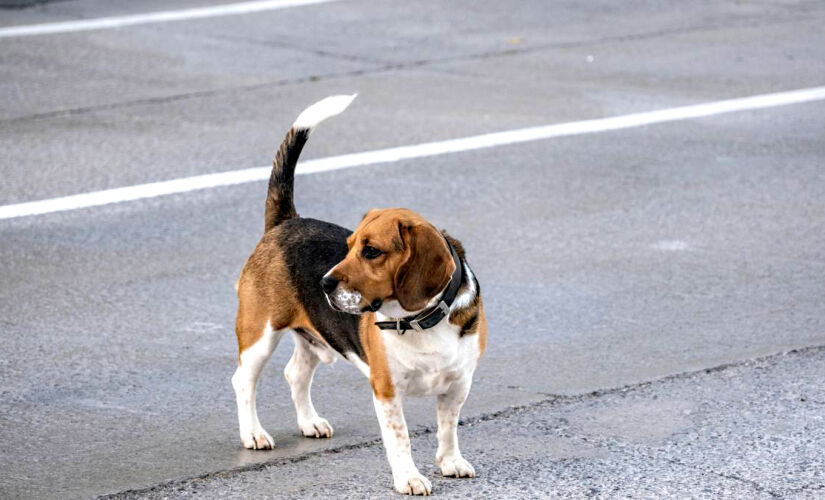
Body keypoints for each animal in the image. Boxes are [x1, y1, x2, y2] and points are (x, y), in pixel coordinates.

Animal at [229, 94, 486, 496]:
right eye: (348, 247)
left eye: (371, 251)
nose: (323, 283)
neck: (420, 321)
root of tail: (286, 222)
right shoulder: (387, 390)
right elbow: (401, 438)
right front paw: (409, 478)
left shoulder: (458, 384)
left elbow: (448, 428)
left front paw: (450, 462)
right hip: (260, 333)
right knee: (244, 382)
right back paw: (253, 433)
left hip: (313, 335)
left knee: (295, 374)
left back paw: (310, 422)